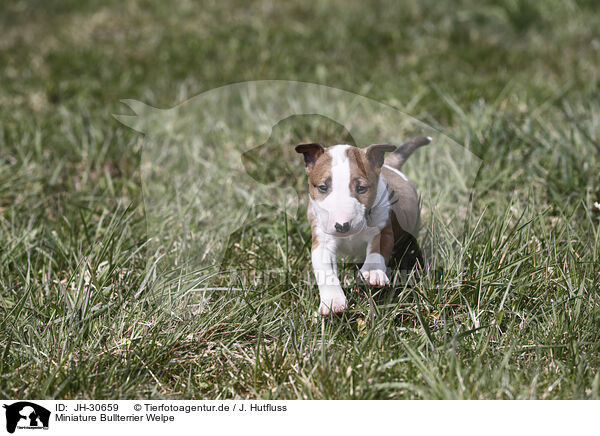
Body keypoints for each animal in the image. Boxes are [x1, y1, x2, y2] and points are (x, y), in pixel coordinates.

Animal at [292, 138, 428, 316]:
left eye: (361, 188)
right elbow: (325, 269)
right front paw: (333, 301)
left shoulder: (382, 230)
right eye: (322, 187)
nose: (342, 226)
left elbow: (377, 251)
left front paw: (372, 272)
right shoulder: (322, 240)